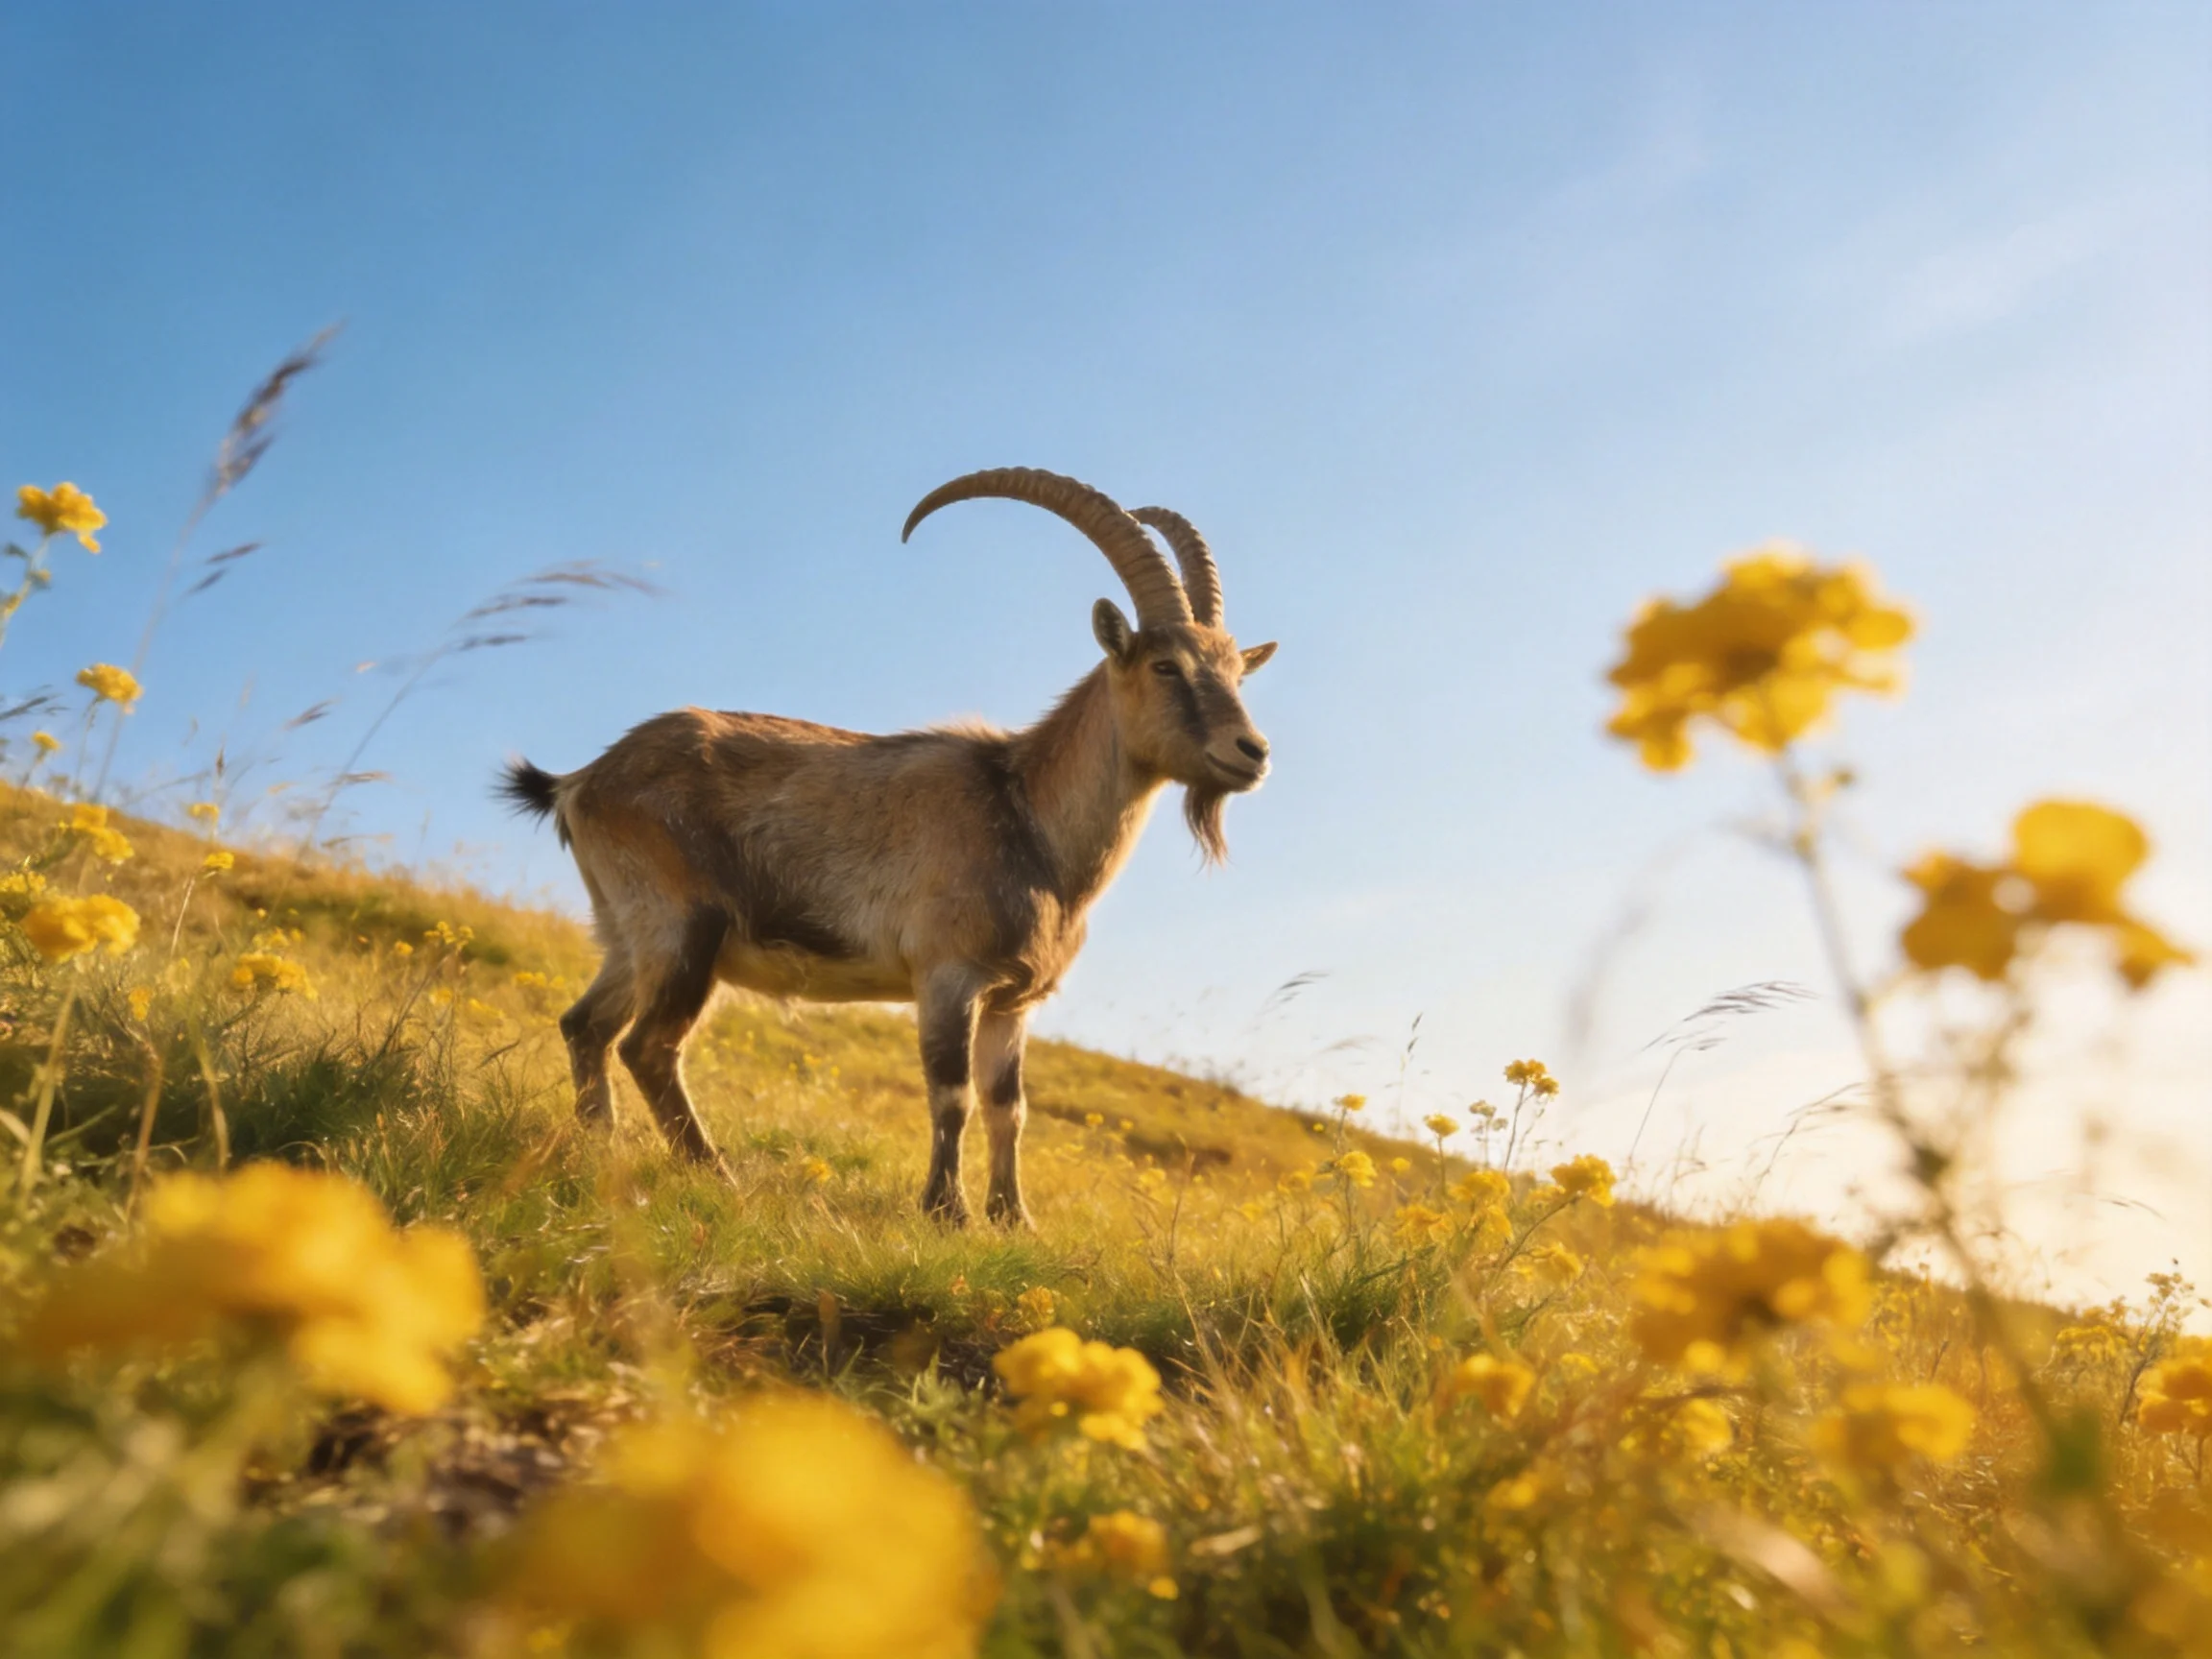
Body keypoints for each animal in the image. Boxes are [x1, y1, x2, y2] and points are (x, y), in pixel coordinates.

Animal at [499, 467, 1275, 1225]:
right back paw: (715, 1174)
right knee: (650, 1045)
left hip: (627, 932)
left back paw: (602, 1149)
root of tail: (581, 781)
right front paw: (946, 1212)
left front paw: (1012, 1218)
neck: (1030, 818)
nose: (1253, 752)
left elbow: (1009, 1107)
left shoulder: (1011, 1001)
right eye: (1165, 665)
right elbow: (952, 1093)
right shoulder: (947, 974)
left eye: (1237, 671)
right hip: (685, 925)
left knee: (586, 1026)